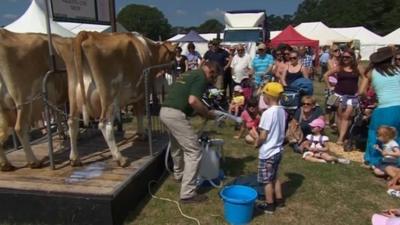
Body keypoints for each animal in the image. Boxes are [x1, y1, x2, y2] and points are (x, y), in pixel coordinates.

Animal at [0, 29, 68, 171]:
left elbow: (58, 112)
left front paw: (62, 133)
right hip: (23, 98)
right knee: (20, 128)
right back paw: (34, 162)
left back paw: (5, 165)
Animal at [53, 31, 177, 166]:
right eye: (174, 55)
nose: (176, 66)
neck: (150, 50)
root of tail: (87, 34)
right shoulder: (143, 92)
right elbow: (140, 113)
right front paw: (142, 134)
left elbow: (137, 112)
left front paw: (139, 133)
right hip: (110, 97)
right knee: (104, 124)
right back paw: (120, 158)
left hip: (73, 96)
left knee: (72, 122)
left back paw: (75, 158)